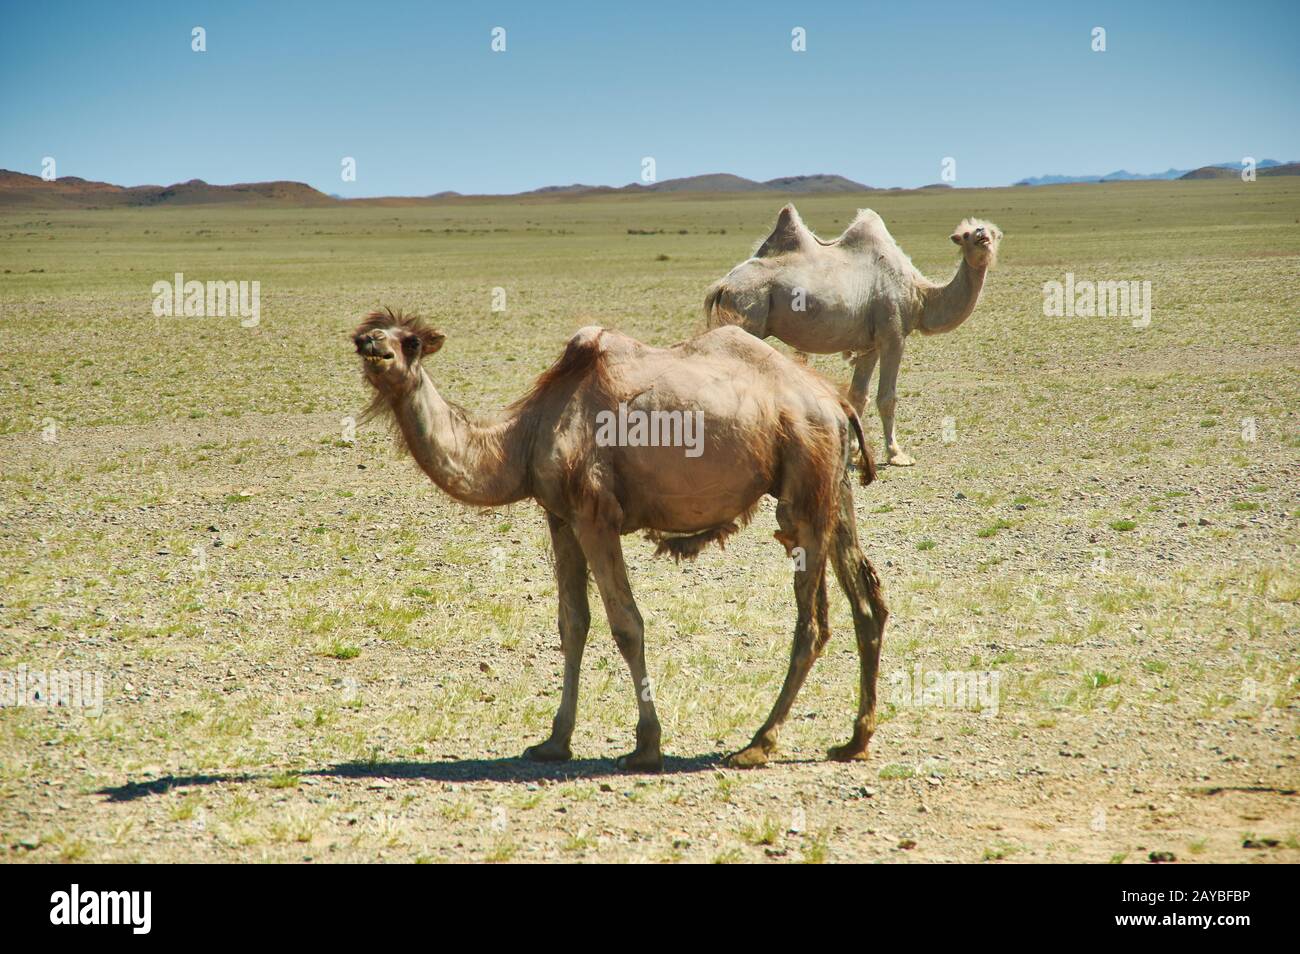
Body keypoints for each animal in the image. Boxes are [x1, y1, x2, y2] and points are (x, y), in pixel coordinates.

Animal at [352, 308, 889, 771]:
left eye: (411, 342)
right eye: (367, 334)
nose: (373, 345)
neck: (523, 438)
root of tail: (837, 403)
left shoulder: (595, 515)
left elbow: (627, 625)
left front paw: (646, 747)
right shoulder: (560, 517)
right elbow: (572, 623)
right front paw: (553, 742)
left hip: (803, 483)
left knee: (813, 621)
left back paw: (758, 744)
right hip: (832, 488)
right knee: (868, 600)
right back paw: (854, 739)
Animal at [705, 205, 1002, 466]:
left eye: (991, 230)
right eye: (965, 235)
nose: (981, 234)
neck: (920, 296)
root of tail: (722, 285)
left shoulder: (870, 345)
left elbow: (857, 395)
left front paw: (855, 451)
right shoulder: (893, 334)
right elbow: (887, 397)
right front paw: (897, 454)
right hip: (748, 315)